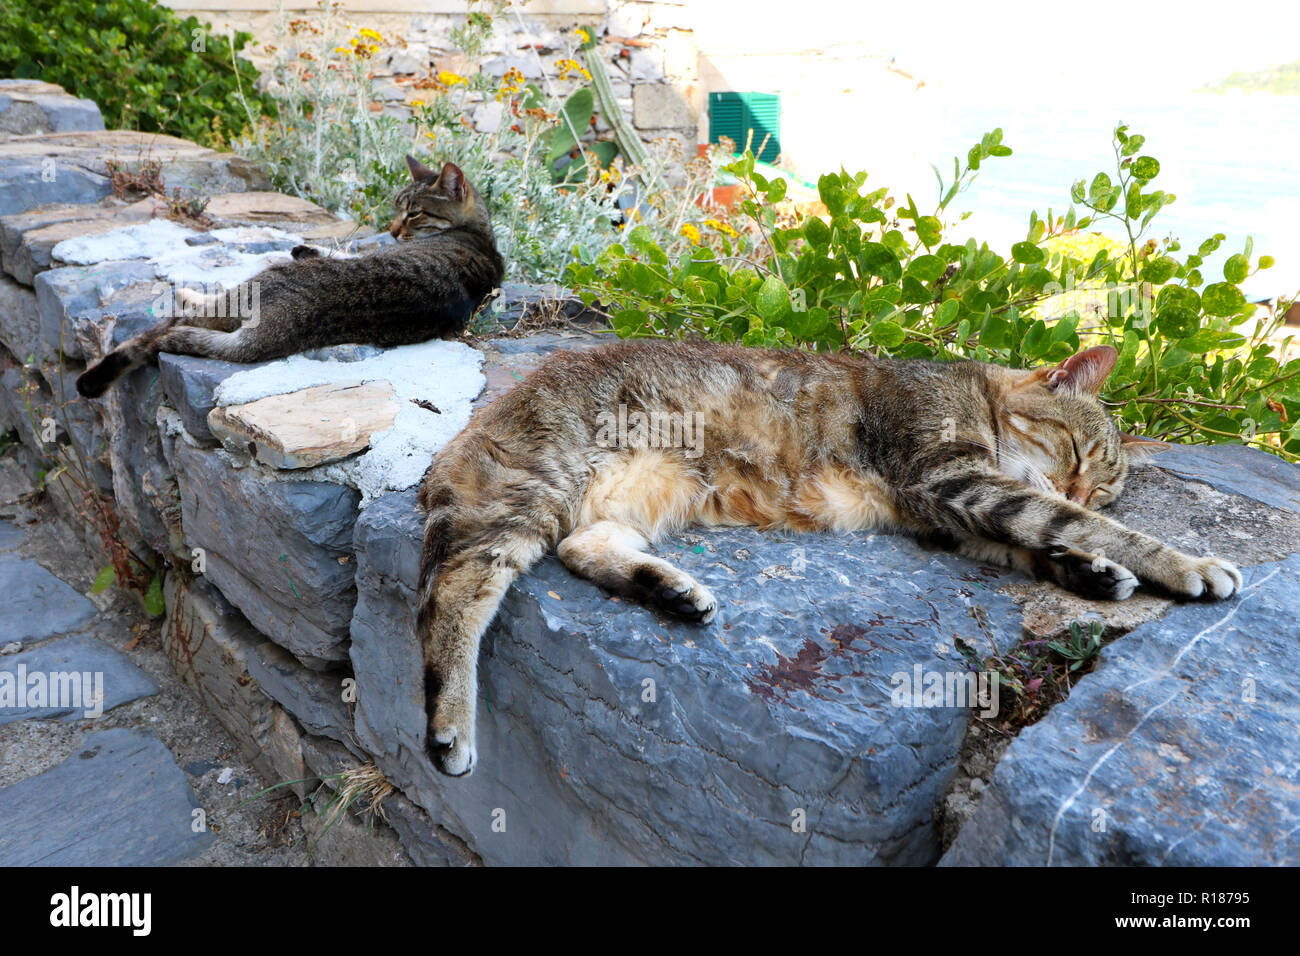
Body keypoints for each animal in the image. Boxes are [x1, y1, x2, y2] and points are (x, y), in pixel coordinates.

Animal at [76, 158, 501, 398]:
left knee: (171, 327)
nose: (393, 231)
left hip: (245, 288)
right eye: (397, 209)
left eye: (413, 213)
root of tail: (271, 329)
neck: (479, 235)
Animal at [416, 340, 1237, 775]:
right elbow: (1065, 523)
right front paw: (1185, 562)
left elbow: (1049, 540)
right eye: (1078, 455)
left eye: (1104, 485)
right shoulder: (952, 480)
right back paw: (450, 723)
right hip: (533, 493)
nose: (1080, 485)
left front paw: (1089, 569)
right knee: (455, 595)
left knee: (583, 548)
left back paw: (671, 590)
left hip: (636, 498)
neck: (972, 390)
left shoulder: (945, 515)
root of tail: (473, 427)